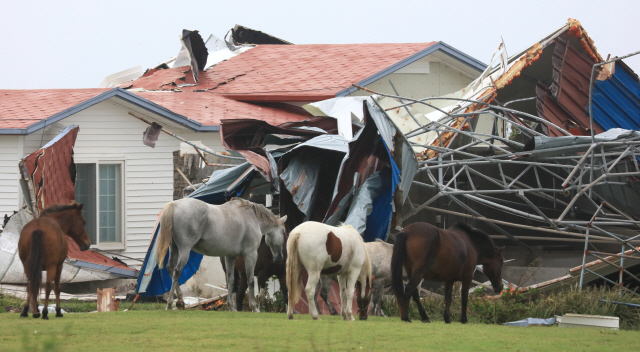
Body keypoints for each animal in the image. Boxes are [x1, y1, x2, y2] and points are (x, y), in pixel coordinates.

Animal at [156, 197, 286, 312]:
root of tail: (175, 205)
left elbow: (230, 281)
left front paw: (231, 307)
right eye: (284, 232)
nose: (279, 258)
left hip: (174, 249)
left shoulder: (230, 257)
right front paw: (254, 308)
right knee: (177, 272)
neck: (252, 218)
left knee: (170, 268)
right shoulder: (250, 255)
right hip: (184, 250)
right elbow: (250, 281)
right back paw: (170, 304)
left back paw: (180, 301)